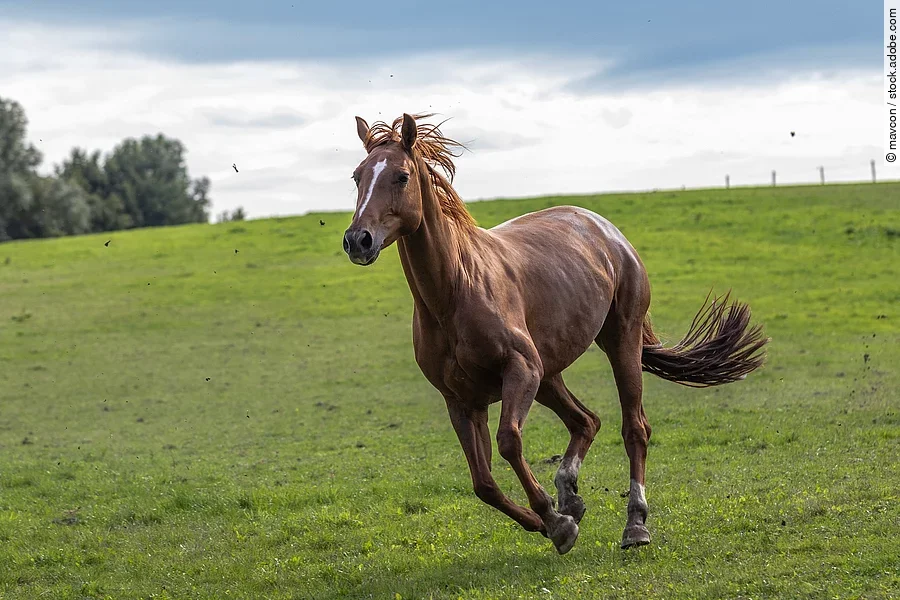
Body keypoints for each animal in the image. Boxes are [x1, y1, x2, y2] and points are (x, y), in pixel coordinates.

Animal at [342, 113, 768, 554]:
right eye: (357, 177)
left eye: (401, 176)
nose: (358, 240)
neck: (455, 290)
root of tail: (606, 229)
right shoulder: (461, 400)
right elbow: (483, 482)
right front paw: (549, 520)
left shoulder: (520, 370)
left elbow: (509, 442)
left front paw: (556, 521)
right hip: (549, 375)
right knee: (586, 421)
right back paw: (570, 495)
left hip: (619, 341)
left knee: (634, 427)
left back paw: (634, 525)